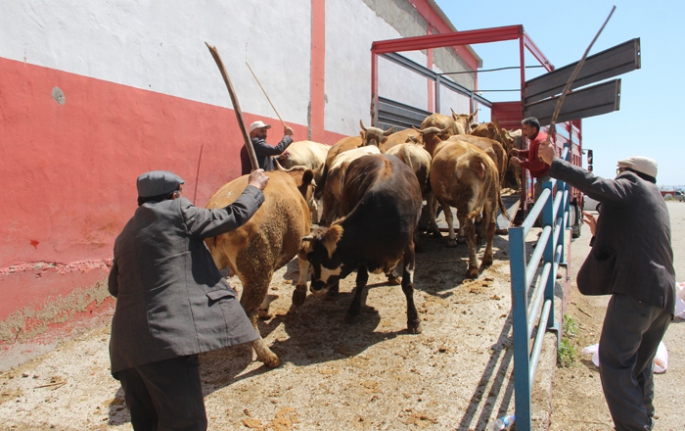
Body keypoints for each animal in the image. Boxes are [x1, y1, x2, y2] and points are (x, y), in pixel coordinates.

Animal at [206, 165, 316, 368]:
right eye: (314, 186)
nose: (316, 205)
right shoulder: (303, 237)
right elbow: (304, 261)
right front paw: (300, 293)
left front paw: (264, 309)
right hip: (256, 265)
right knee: (248, 312)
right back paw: (268, 356)